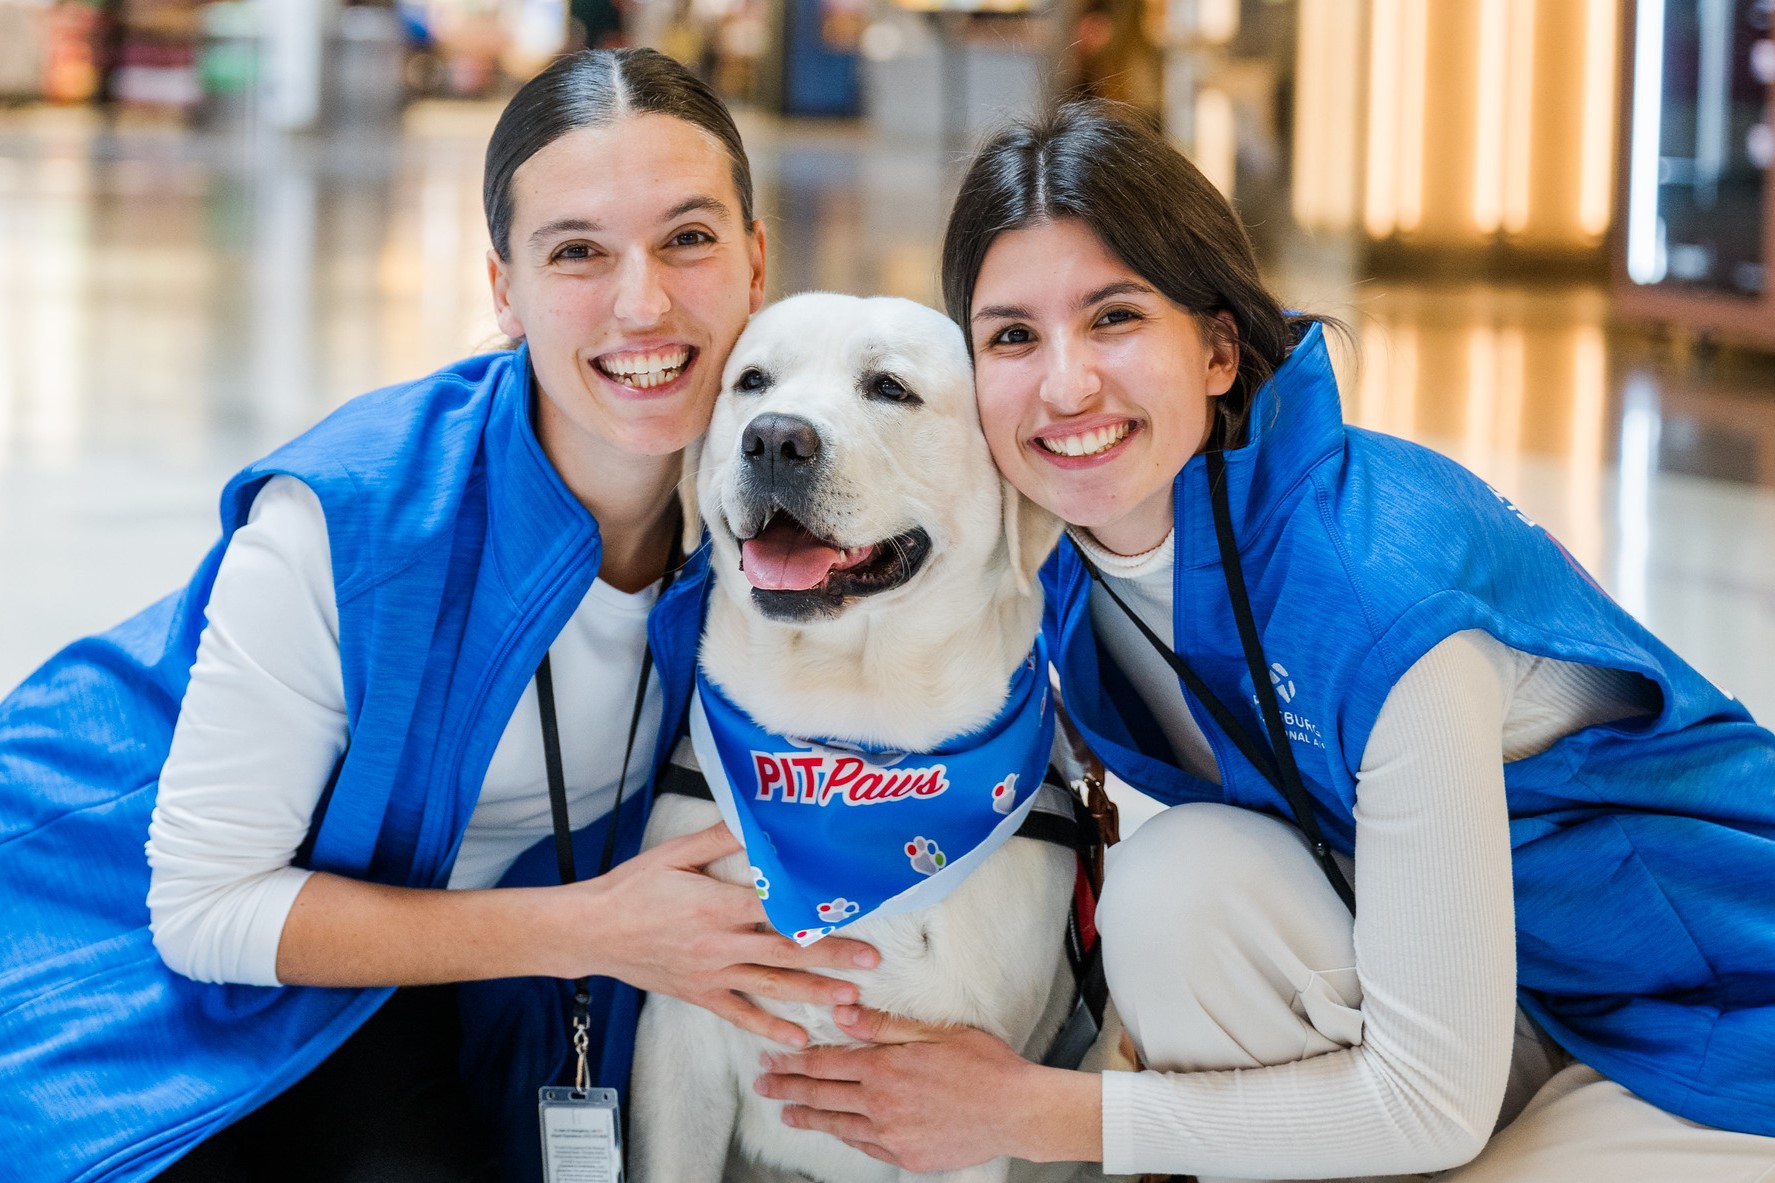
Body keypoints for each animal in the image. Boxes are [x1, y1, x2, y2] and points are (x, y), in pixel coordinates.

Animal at [629, 293, 1094, 1183]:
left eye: (889, 388)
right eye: (752, 381)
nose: (775, 438)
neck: (847, 752)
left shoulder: (967, 1104)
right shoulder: (679, 1041)